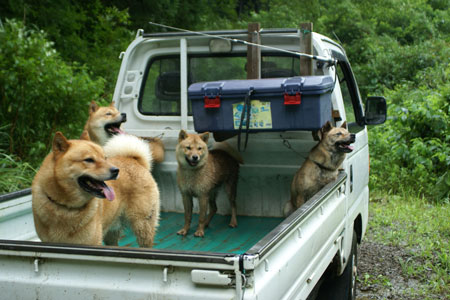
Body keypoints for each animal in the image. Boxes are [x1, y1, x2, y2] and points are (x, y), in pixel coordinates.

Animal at [31, 131, 159, 246]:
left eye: (105, 158)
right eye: (89, 160)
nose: (116, 170)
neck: (66, 207)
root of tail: (134, 160)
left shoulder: (92, 244)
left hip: (142, 226)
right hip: (112, 231)